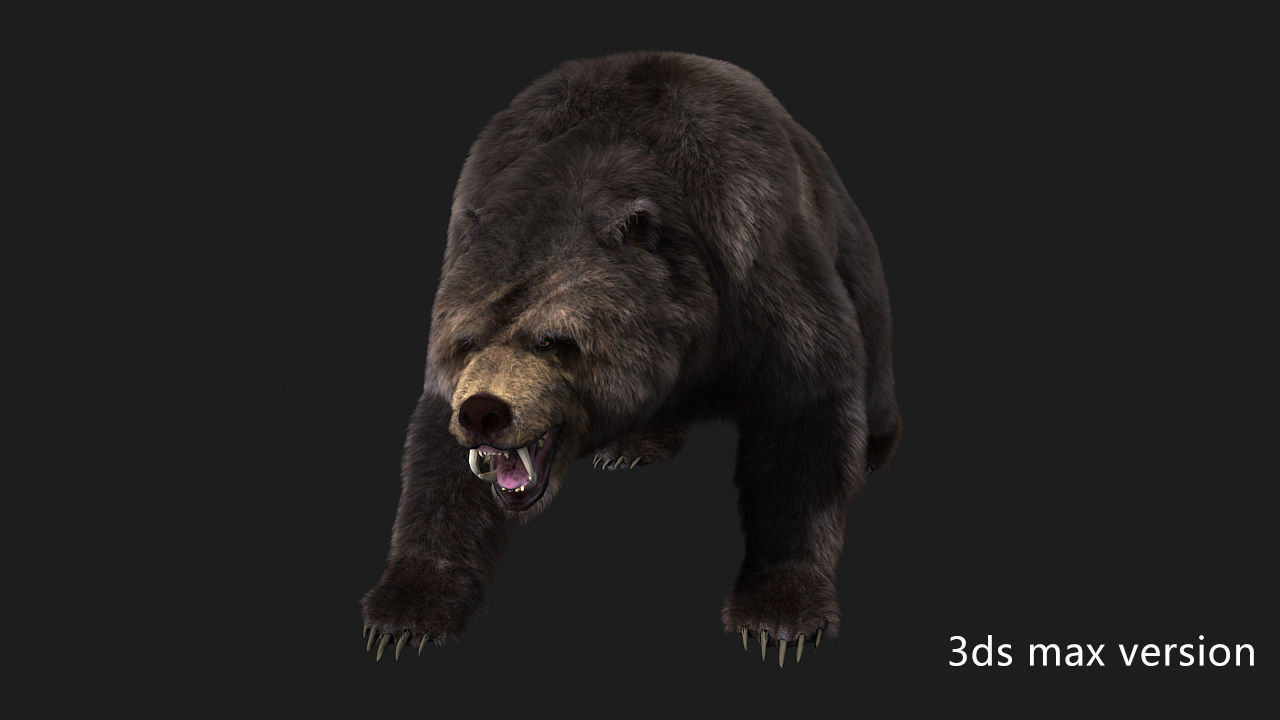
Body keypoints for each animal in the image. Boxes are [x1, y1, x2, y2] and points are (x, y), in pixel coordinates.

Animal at [361, 51, 900, 666]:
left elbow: (806, 408)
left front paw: (779, 617)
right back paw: (635, 444)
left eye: (551, 339)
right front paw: (403, 614)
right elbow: (442, 465)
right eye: (466, 340)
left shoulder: (755, 260)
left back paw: (872, 449)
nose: (484, 412)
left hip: (848, 246)